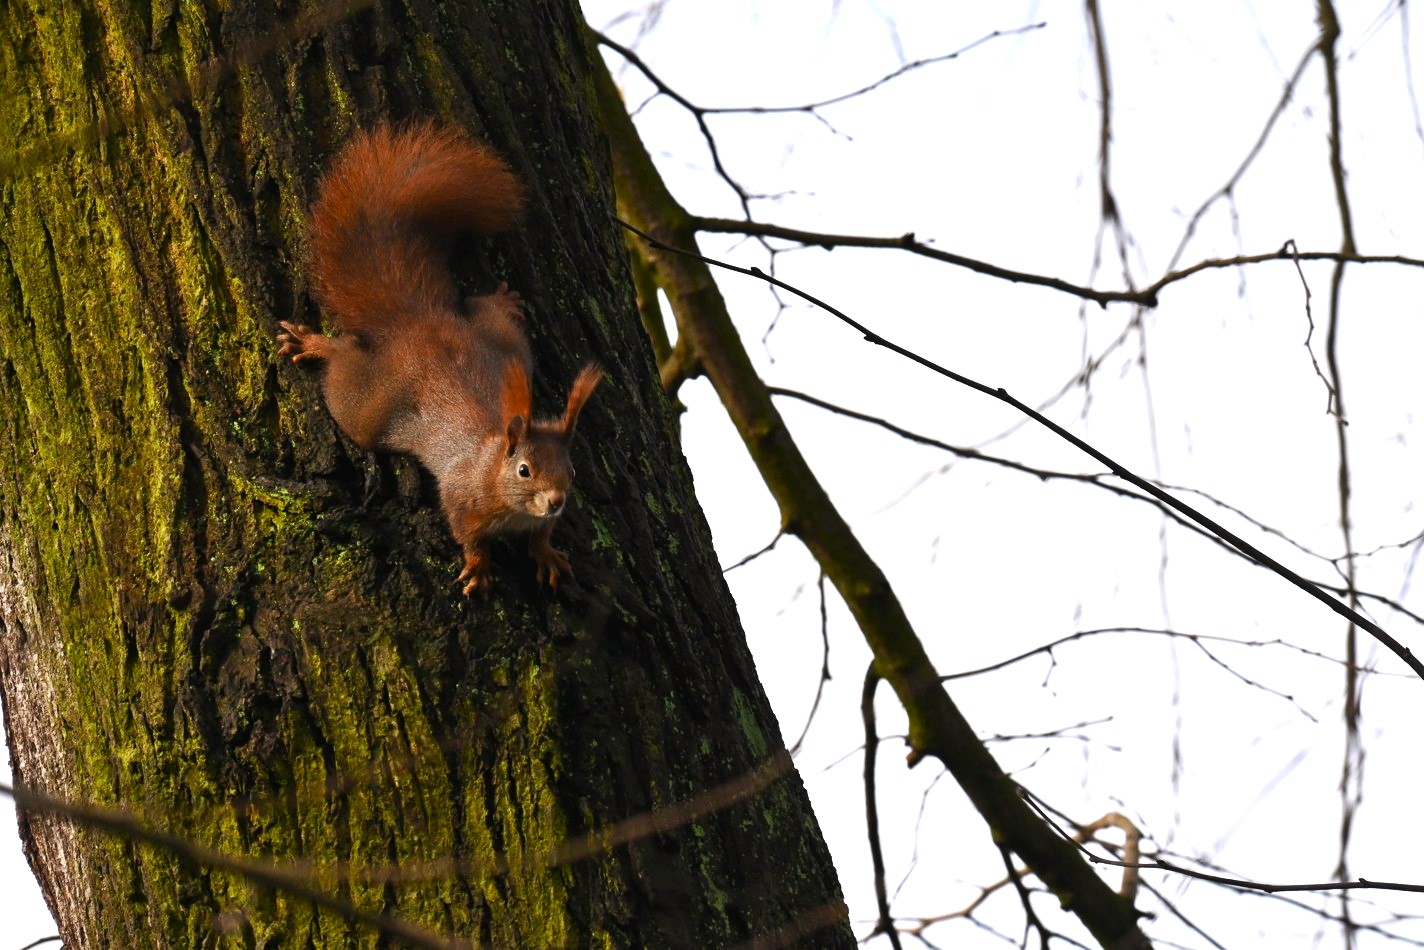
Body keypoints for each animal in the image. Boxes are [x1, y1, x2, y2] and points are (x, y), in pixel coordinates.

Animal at [276, 121, 600, 595]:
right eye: (524, 470)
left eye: (573, 471)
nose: (557, 501)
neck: (493, 469)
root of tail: (421, 323)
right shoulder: (461, 495)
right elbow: (467, 534)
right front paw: (479, 567)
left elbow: (541, 536)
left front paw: (547, 553)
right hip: (366, 408)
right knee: (344, 362)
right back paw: (316, 346)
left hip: (506, 343)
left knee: (486, 311)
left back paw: (503, 302)